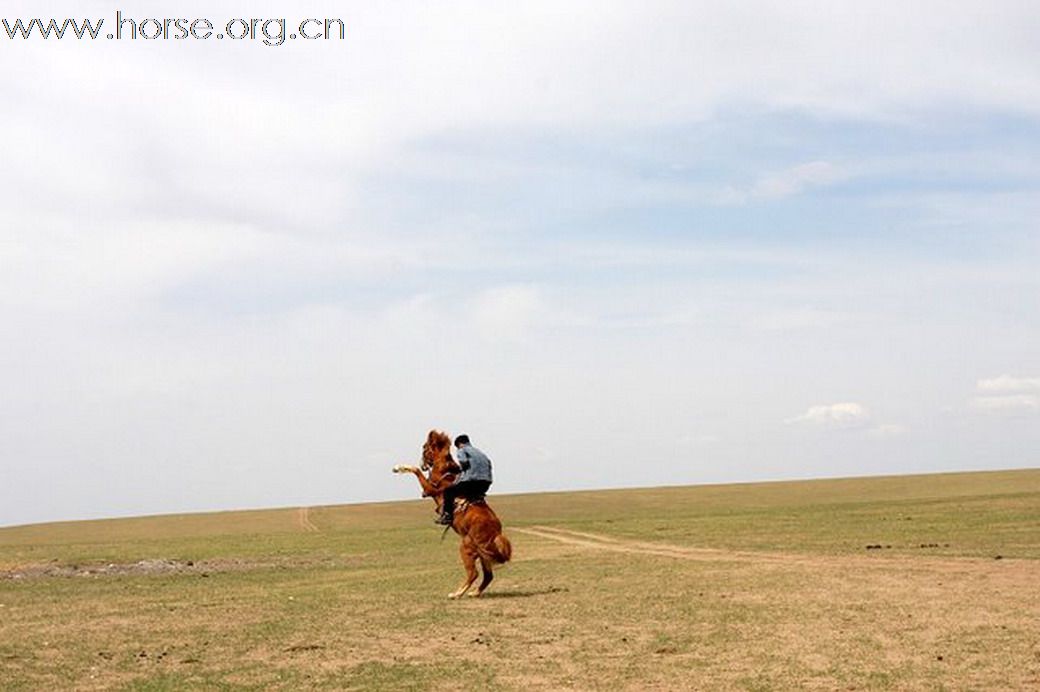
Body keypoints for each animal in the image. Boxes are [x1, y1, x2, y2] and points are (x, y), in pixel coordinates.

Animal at [391, 428, 513, 595]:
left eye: (424, 448)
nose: (423, 464)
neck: (445, 469)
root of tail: (496, 533)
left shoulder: (430, 489)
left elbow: (416, 472)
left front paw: (398, 468)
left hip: (466, 548)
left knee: (473, 573)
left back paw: (456, 594)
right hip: (483, 554)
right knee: (488, 576)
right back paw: (474, 593)